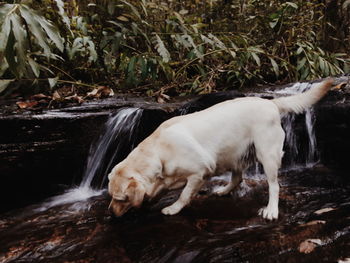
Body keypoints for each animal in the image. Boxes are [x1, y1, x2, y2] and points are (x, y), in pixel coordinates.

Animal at [108, 79, 334, 221]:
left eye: (120, 199)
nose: (110, 213)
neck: (159, 151)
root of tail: (270, 102)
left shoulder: (198, 173)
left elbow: (184, 194)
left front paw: (172, 208)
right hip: (233, 152)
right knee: (238, 178)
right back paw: (224, 190)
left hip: (266, 155)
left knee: (274, 185)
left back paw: (271, 210)